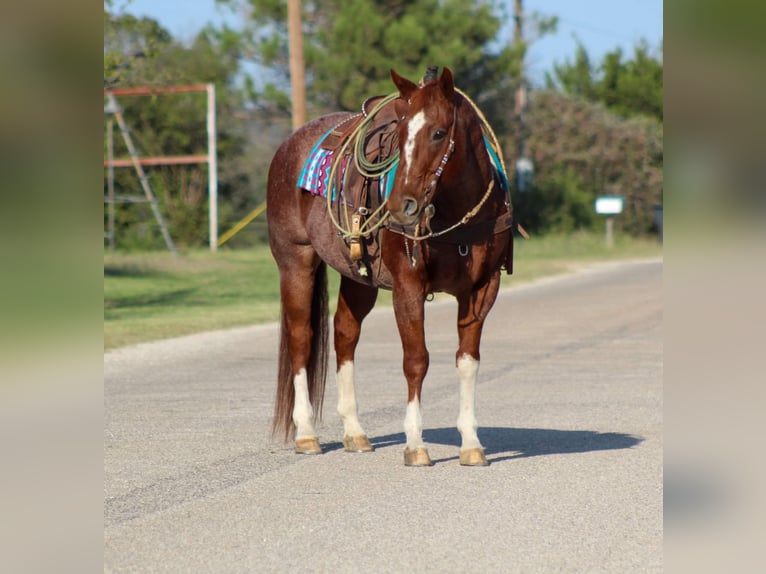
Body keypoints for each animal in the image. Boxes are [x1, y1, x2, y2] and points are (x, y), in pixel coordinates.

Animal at [266, 67, 516, 466]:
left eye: (438, 132)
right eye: (399, 133)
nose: (402, 206)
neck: (455, 212)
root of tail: (288, 146)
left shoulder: (482, 291)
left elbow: (467, 361)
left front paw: (471, 444)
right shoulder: (408, 287)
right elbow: (416, 360)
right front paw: (415, 444)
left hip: (358, 278)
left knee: (344, 333)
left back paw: (355, 432)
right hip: (295, 262)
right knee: (301, 338)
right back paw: (306, 433)